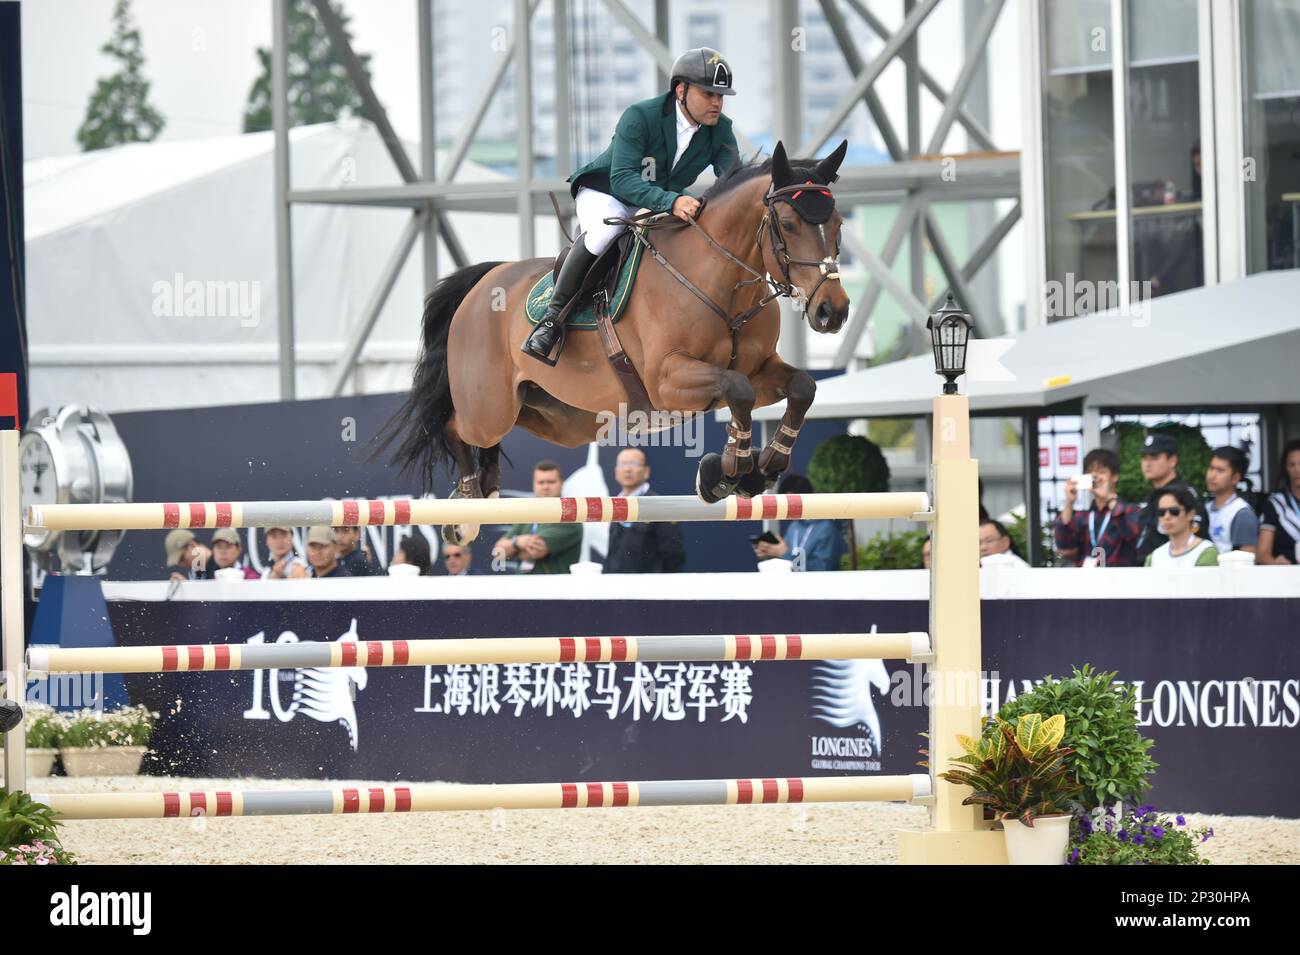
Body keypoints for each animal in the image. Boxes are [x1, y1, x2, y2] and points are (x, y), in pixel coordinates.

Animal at [374, 140, 852, 545]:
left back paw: (483, 497)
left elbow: (800, 386)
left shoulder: (760, 368)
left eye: (839, 224)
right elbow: (738, 390)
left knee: (496, 441)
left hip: (558, 417)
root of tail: (484, 281)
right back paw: (466, 510)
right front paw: (731, 471)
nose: (833, 311)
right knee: (456, 428)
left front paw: (761, 466)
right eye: (788, 224)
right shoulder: (668, 380)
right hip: (489, 407)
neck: (723, 282)